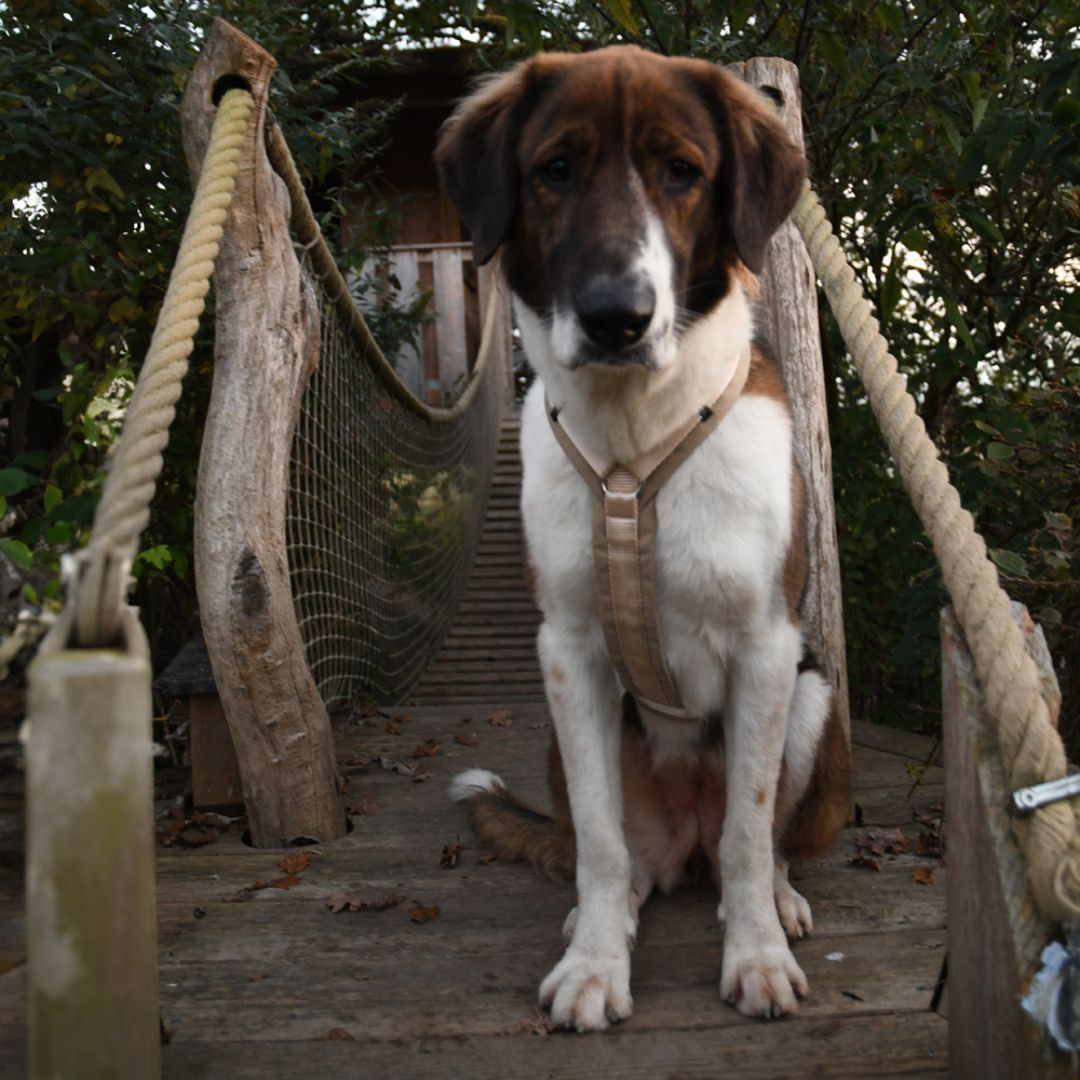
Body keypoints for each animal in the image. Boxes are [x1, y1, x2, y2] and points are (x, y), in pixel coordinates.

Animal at [438, 46, 851, 1032]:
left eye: (682, 171)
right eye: (555, 169)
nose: (615, 316)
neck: (635, 436)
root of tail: (681, 846)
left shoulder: (767, 648)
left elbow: (749, 829)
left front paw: (757, 956)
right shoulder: (570, 651)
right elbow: (597, 837)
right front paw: (595, 964)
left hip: (813, 695)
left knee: (758, 842)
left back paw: (774, 901)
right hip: (566, 742)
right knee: (626, 858)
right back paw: (610, 911)